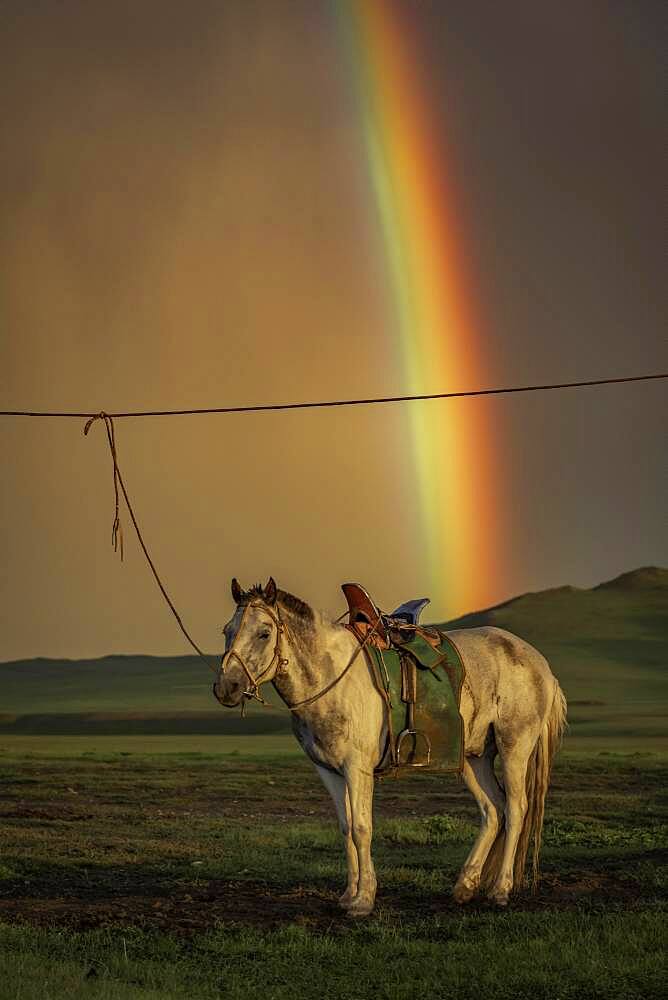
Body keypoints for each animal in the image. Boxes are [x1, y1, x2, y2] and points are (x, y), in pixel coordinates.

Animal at [215, 580, 568, 916]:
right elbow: (345, 828)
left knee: (516, 808)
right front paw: (348, 895)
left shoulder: (357, 768)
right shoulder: (329, 771)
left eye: (264, 633)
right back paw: (465, 886)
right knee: (492, 810)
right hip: (474, 757)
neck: (330, 676)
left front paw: (363, 900)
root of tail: (541, 665)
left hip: (514, 748)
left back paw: (500, 890)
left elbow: (361, 828)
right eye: (226, 631)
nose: (226, 688)